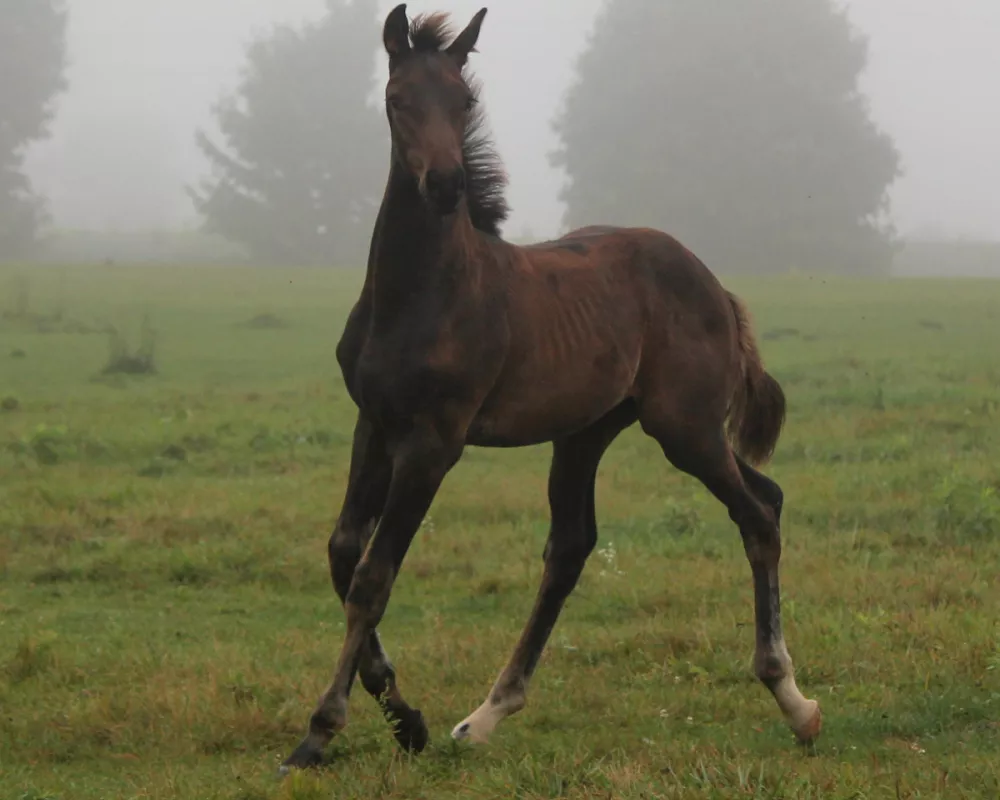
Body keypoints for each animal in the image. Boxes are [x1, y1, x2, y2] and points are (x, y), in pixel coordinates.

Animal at [280, 3, 820, 772]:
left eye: (464, 101)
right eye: (398, 99)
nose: (445, 183)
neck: (420, 293)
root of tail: (714, 285)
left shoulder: (435, 442)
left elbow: (374, 576)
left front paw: (321, 731)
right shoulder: (375, 424)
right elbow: (343, 550)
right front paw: (405, 717)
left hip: (683, 427)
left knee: (756, 514)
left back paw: (792, 698)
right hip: (591, 430)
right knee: (579, 542)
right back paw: (484, 716)